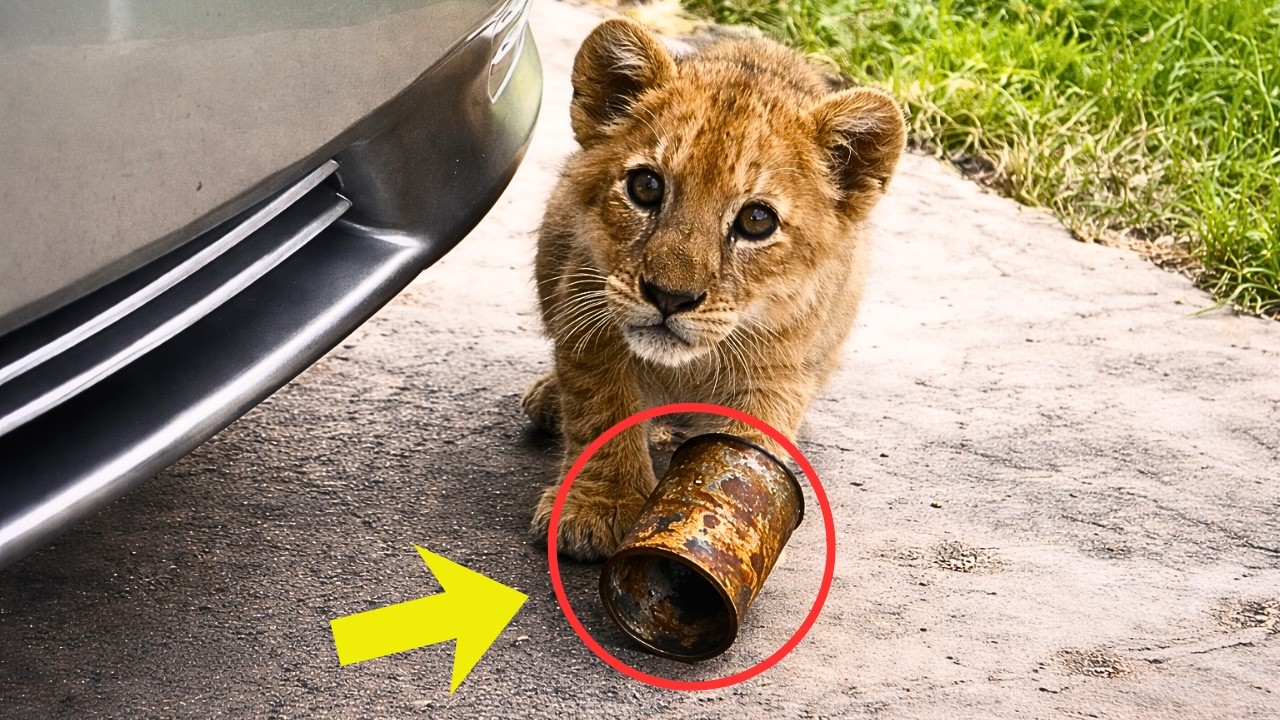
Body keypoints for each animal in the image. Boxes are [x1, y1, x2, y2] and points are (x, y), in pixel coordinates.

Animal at [524, 18, 906, 560]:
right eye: (646, 187)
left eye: (756, 220)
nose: (669, 297)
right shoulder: (586, 307)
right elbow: (600, 409)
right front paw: (601, 506)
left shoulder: (778, 373)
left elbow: (743, 450)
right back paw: (548, 400)